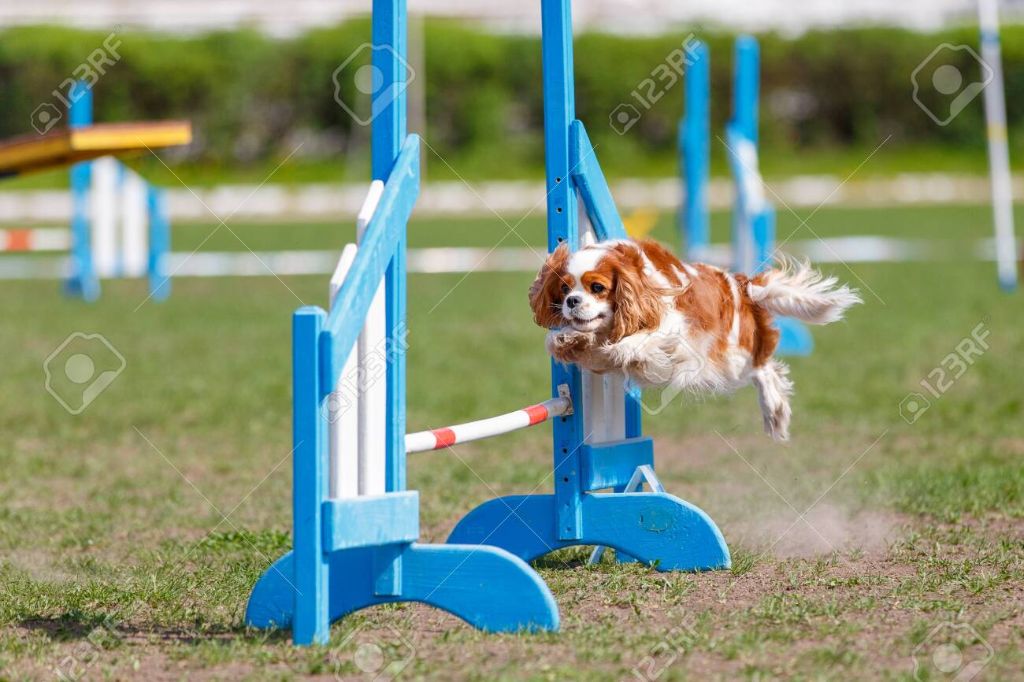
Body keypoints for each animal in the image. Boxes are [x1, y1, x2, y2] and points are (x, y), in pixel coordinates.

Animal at [532, 238, 860, 440]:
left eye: (597, 287)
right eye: (564, 289)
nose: (572, 301)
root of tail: (740, 284)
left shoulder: (673, 327)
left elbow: (636, 342)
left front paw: (620, 346)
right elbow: (579, 345)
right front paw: (566, 339)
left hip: (730, 357)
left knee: (763, 368)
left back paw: (774, 410)